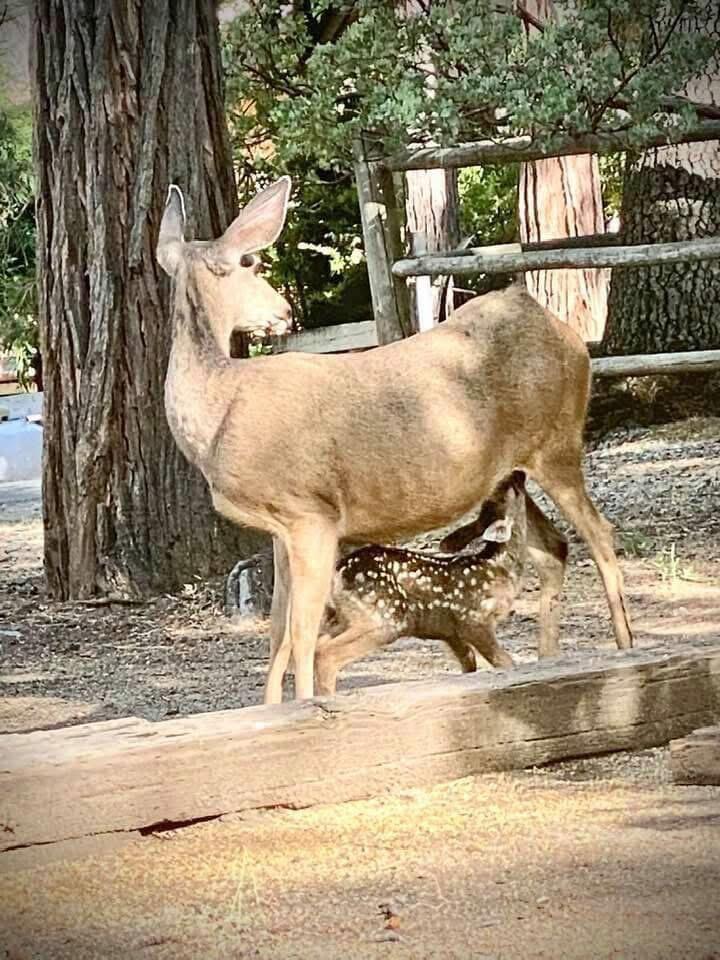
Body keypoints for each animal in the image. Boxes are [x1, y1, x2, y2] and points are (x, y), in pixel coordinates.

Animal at [314, 471, 529, 696]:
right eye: (506, 489)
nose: (518, 473)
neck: (499, 567)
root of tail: (338, 572)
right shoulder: (472, 619)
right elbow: (505, 662)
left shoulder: (450, 631)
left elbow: (469, 664)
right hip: (383, 617)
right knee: (326, 654)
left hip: (341, 617)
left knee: (318, 645)